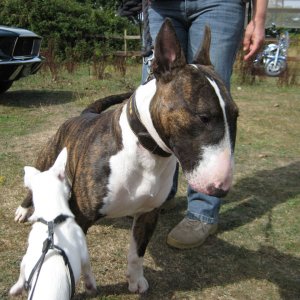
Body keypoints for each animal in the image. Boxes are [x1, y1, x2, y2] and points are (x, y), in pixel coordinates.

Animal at [9, 148, 96, 300]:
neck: (52, 218)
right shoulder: (84, 250)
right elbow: (87, 268)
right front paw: (91, 285)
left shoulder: (26, 258)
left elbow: (21, 271)